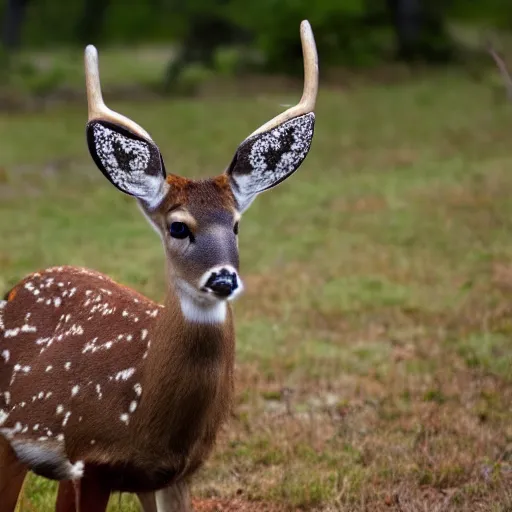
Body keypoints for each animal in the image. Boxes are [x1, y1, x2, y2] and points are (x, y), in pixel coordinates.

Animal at [0, 19, 318, 512]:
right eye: (178, 227)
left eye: (236, 224)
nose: (222, 278)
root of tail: (16, 288)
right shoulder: (90, 460)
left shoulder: (174, 473)